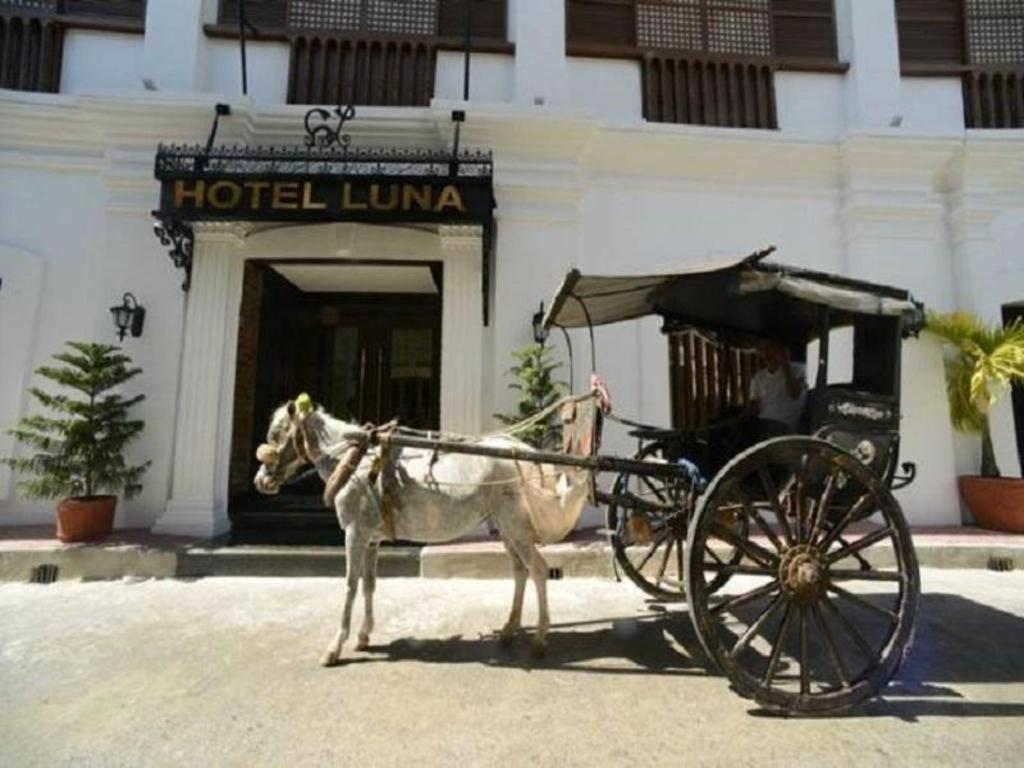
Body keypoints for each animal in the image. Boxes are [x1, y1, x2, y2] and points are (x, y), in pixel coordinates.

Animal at [252, 399, 557, 663]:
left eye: (276, 434)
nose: (260, 482)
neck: (353, 461)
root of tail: (517, 450)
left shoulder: (354, 533)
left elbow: (350, 585)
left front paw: (334, 647)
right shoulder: (371, 539)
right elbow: (369, 584)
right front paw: (363, 636)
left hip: (514, 523)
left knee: (538, 569)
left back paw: (540, 640)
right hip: (505, 527)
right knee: (520, 571)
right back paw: (508, 630)